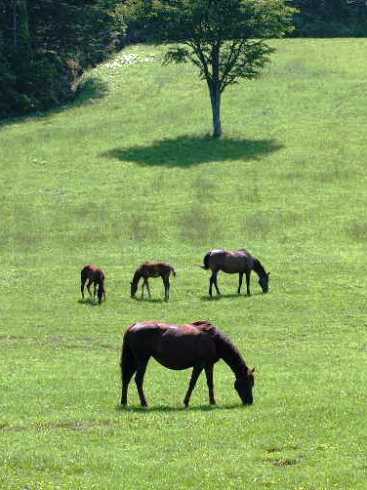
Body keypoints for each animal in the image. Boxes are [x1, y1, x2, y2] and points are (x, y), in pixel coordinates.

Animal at [121, 320, 256, 408]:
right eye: (248, 383)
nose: (250, 401)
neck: (214, 339)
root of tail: (133, 326)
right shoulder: (199, 365)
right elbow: (192, 383)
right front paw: (186, 402)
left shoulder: (209, 365)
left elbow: (210, 383)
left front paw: (212, 402)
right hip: (142, 359)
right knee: (138, 379)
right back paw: (144, 403)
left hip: (134, 360)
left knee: (126, 379)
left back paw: (124, 402)